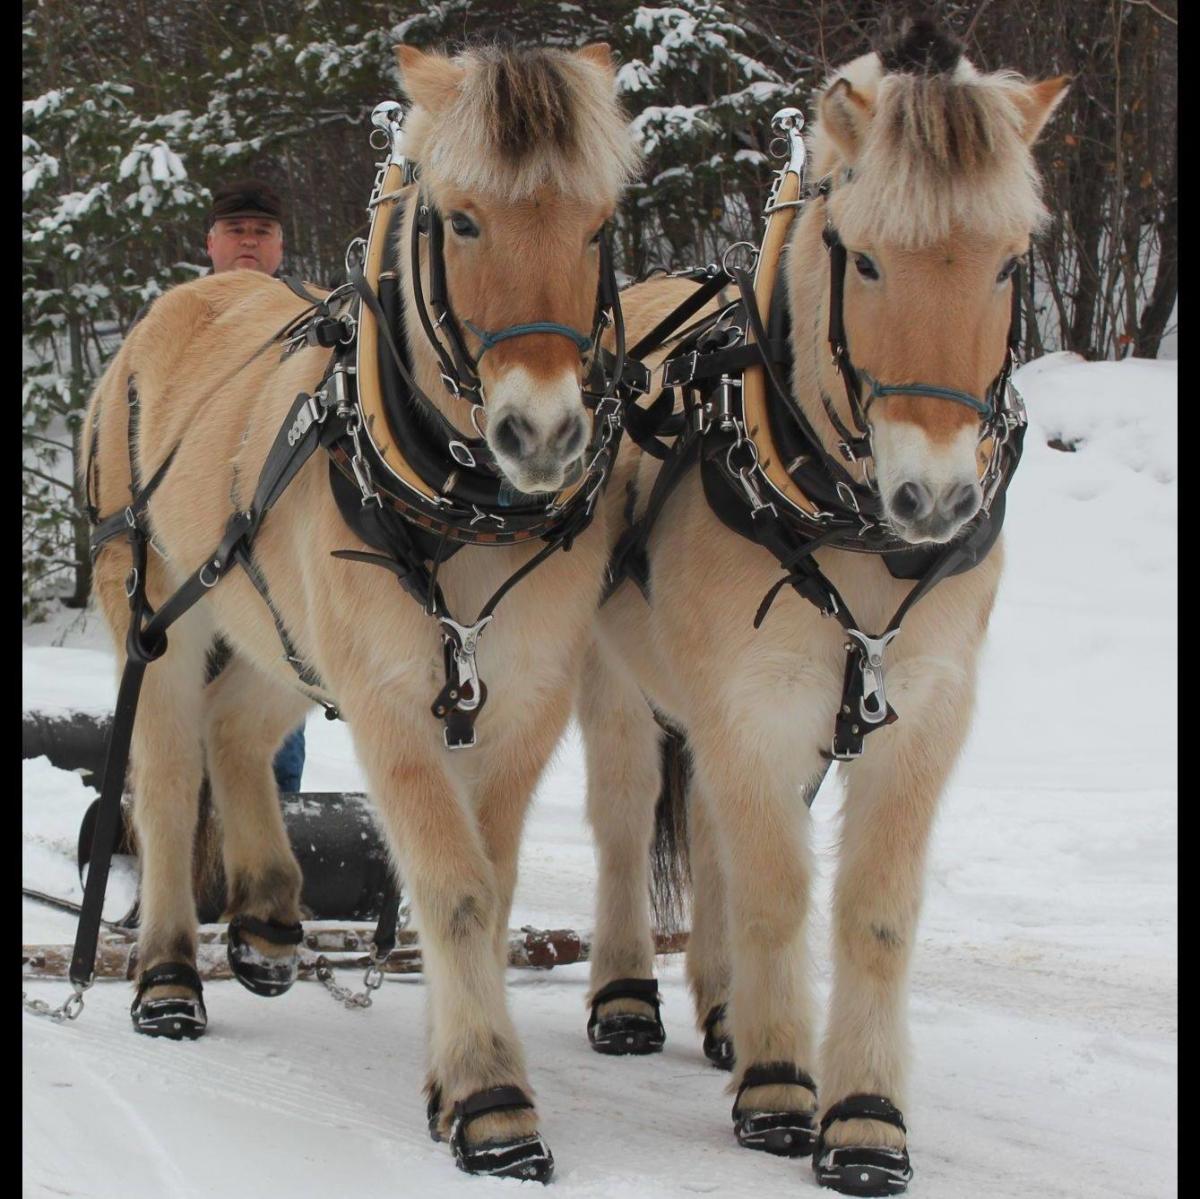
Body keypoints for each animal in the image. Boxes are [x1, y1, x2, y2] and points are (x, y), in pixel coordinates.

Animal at [79, 41, 637, 1181]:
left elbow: (489, 881)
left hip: (281, 628)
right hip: (158, 609)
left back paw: (265, 917)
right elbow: (455, 883)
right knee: (166, 781)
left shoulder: (523, 697)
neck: (466, 506)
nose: (545, 434)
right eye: (462, 221)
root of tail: (157, 320)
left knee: (237, 729)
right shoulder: (388, 698)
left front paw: (448, 1079)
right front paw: (491, 1098)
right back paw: (168, 976)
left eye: (599, 223)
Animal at [578, 20, 1068, 1196]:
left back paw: (724, 1009)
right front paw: (778, 1087)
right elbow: (777, 891)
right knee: (625, 820)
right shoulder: (750, 703)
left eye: (1004, 262)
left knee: (712, 836)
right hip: (619, 682)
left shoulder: (920, 712)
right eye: (870, 256)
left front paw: (862, 1113)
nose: (936, 498)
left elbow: (869, 910)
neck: (852, 524)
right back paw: (629, 998)